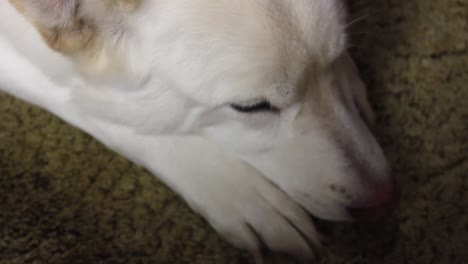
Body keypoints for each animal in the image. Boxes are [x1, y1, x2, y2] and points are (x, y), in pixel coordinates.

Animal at [0, 0, 398, 260]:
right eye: (250, 107)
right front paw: (237, 190)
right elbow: (85, 102)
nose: (383, 198)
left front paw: (348, 79)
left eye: (335, 56)